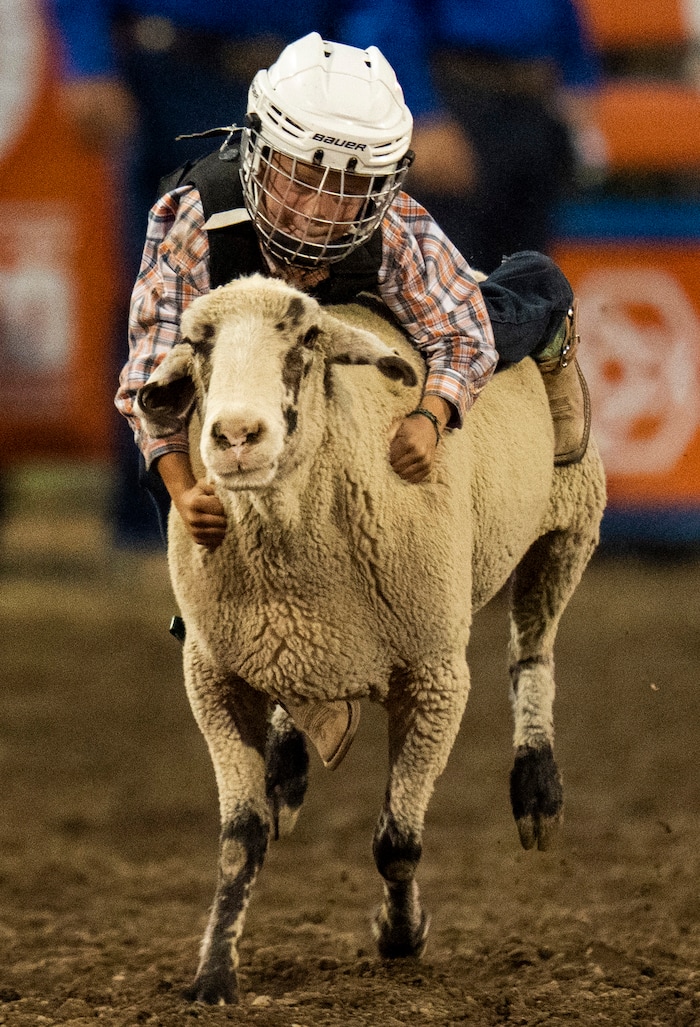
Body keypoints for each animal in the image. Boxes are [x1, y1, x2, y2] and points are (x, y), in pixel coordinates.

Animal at [136, 273, 606, 1005]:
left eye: (306, 340)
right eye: (198, 344)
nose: (236, 434)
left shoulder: (436, 677)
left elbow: (398, 842)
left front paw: (400, 936)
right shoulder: (214, 677)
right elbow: (241, 841)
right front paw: (213, 975)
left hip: (570, 523)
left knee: (532, 649)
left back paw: (537, 792)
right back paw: (289, 767)